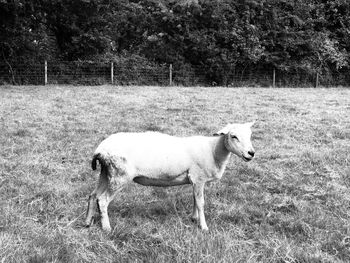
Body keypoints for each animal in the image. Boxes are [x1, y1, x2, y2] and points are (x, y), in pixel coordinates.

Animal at [85, 122, 254, 232]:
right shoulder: (199, 178)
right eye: (233, 136)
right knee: (102, 200)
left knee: (93, 195)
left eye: (251, 135)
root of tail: (100, 149)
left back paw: (87, 222)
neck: (213, 151)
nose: (251, 153)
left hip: (106, 173)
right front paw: (204, 227)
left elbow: (194, 199)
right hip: (119, 175)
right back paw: (106, 228)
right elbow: (201, 203)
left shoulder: (194, 180)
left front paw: (194, 218)